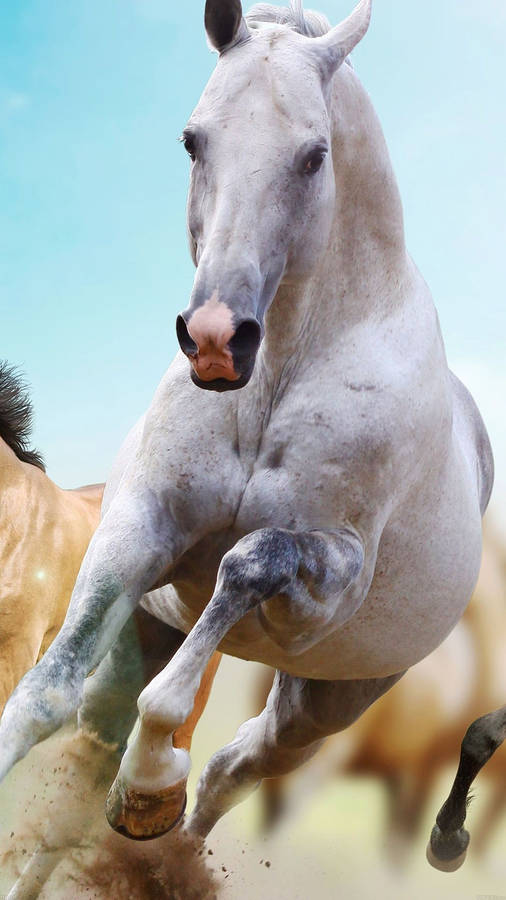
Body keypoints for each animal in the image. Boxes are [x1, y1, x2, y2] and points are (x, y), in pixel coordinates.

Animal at [0, 0, 493, 857]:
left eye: (315, 154)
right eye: (193, 140)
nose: (214, 340)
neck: (276, 380)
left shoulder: (325, 585)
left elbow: (248, 562)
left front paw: (152, 773)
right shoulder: (140, 528)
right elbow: (40, 698)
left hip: (324, 703)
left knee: (238, 766)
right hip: (150, 634)